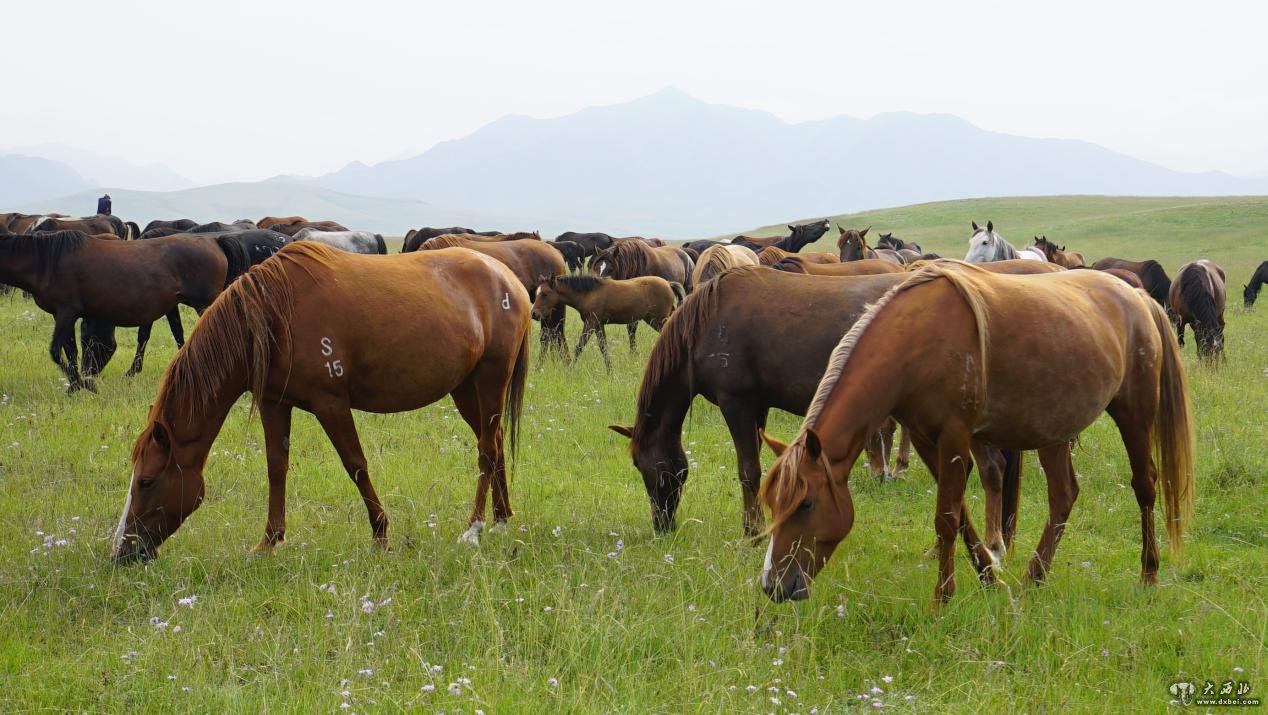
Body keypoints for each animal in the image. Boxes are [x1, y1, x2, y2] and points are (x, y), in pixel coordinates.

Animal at [0, 231, 225, 392]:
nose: (90, 372)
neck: (47, 263)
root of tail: (215, 242)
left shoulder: (67, 312)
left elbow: (56, 351)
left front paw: (85, 385)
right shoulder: (64, 315)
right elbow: (70, 352)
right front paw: (76, 385)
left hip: (205, 304)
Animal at [115, 243, 535, 560]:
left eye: (147, 481)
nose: (123, 551)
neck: (274, 314)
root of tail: (510, 279)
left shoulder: (331, 404)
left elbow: (356, 466)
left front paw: (381, 535)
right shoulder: (274, 403)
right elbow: (276, 467)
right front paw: (268, 542)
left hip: (491, 380)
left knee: (485, 449)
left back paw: (474, 528)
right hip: (465, 389)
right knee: (495, 442)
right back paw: (501, 519)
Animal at [530, 275, 684, 372]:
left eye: (544, 294)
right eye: (537, 293)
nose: (534, 314)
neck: (589, 293)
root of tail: (668, 283)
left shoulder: (590, 323)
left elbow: (579, 347)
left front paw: (569, 371)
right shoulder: (599, 325)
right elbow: (603, 348)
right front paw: (610, 372)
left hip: (658, 320)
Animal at [755, 262, 1191, 603]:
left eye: (806, 504)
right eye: (773, 504)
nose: (773, 585)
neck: (917, 340)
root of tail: (1137, 297)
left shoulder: (955, 435)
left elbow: (947, 517)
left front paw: (942, 598)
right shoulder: (926, 438)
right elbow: (961, 514)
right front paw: (989, 579)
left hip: (1135, 415)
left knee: (1145, 485)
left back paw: (1148, 573)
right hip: (1053, 431)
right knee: (1063, 495)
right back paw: (1033, 579)